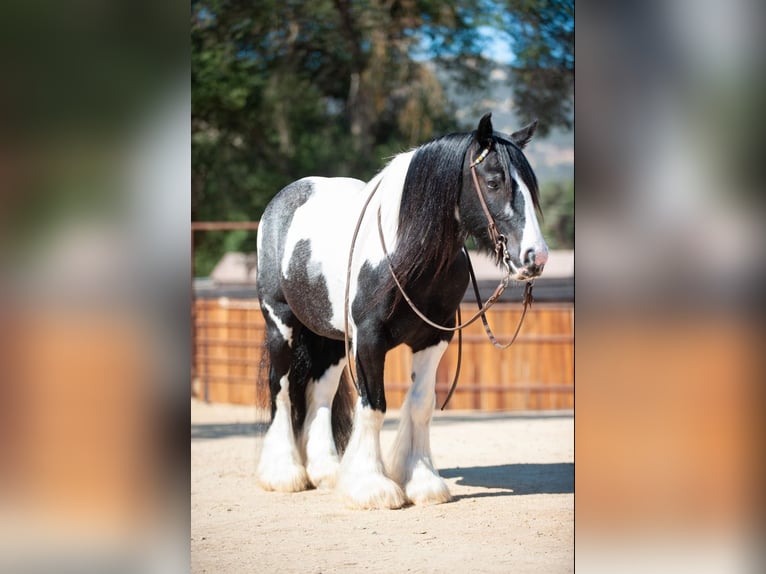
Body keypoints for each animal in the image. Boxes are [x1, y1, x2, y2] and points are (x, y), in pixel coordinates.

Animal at [258, 115, 552, 510]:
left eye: (531, 188)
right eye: (494, 181)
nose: (536, 257)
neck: (405, 253)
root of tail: (282, 201)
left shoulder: (434, 339)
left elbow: (420, 405)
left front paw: (422, 481)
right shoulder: (369, 340)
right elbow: (375, 406)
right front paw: (372, 487)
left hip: (330, 338)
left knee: (319, 393)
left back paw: (327, 472)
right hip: (281, 324)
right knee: (282, 386)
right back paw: (283, 473)